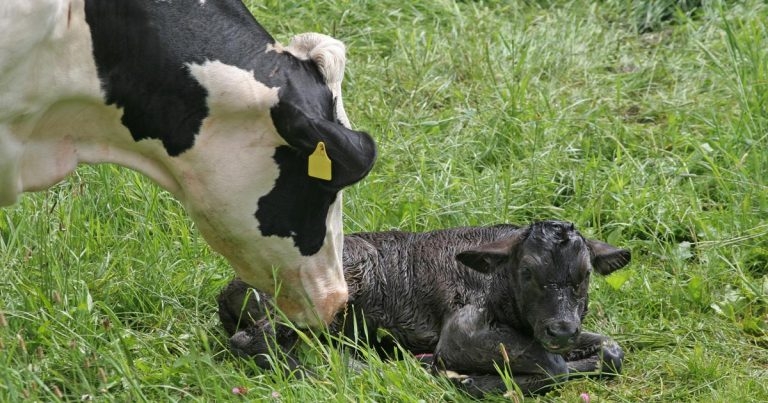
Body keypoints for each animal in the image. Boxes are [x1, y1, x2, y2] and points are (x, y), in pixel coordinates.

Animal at [218, 221, 631, 396]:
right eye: (527, 271)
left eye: (585, 273)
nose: (561, 329)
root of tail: (234, 283)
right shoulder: (460, 331)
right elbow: (554, 366)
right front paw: (470, 381)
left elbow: (612, 351)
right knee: (253, 342)